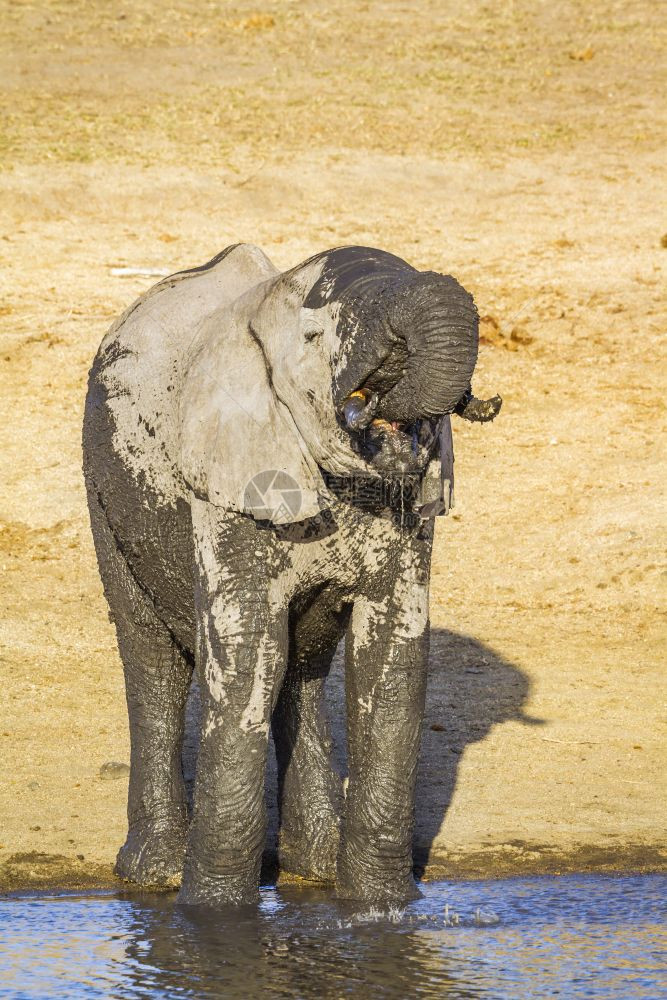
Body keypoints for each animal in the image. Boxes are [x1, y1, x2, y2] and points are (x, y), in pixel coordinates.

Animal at [82, 242, 500, 908]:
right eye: (313, 337)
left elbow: (388, 655)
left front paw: (383, 910)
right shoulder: (226, 486)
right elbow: (247, 653)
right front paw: (213, 918)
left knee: (300, 671)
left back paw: (316, 870)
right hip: (105, 491)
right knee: (153, 662)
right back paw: (155, 876)